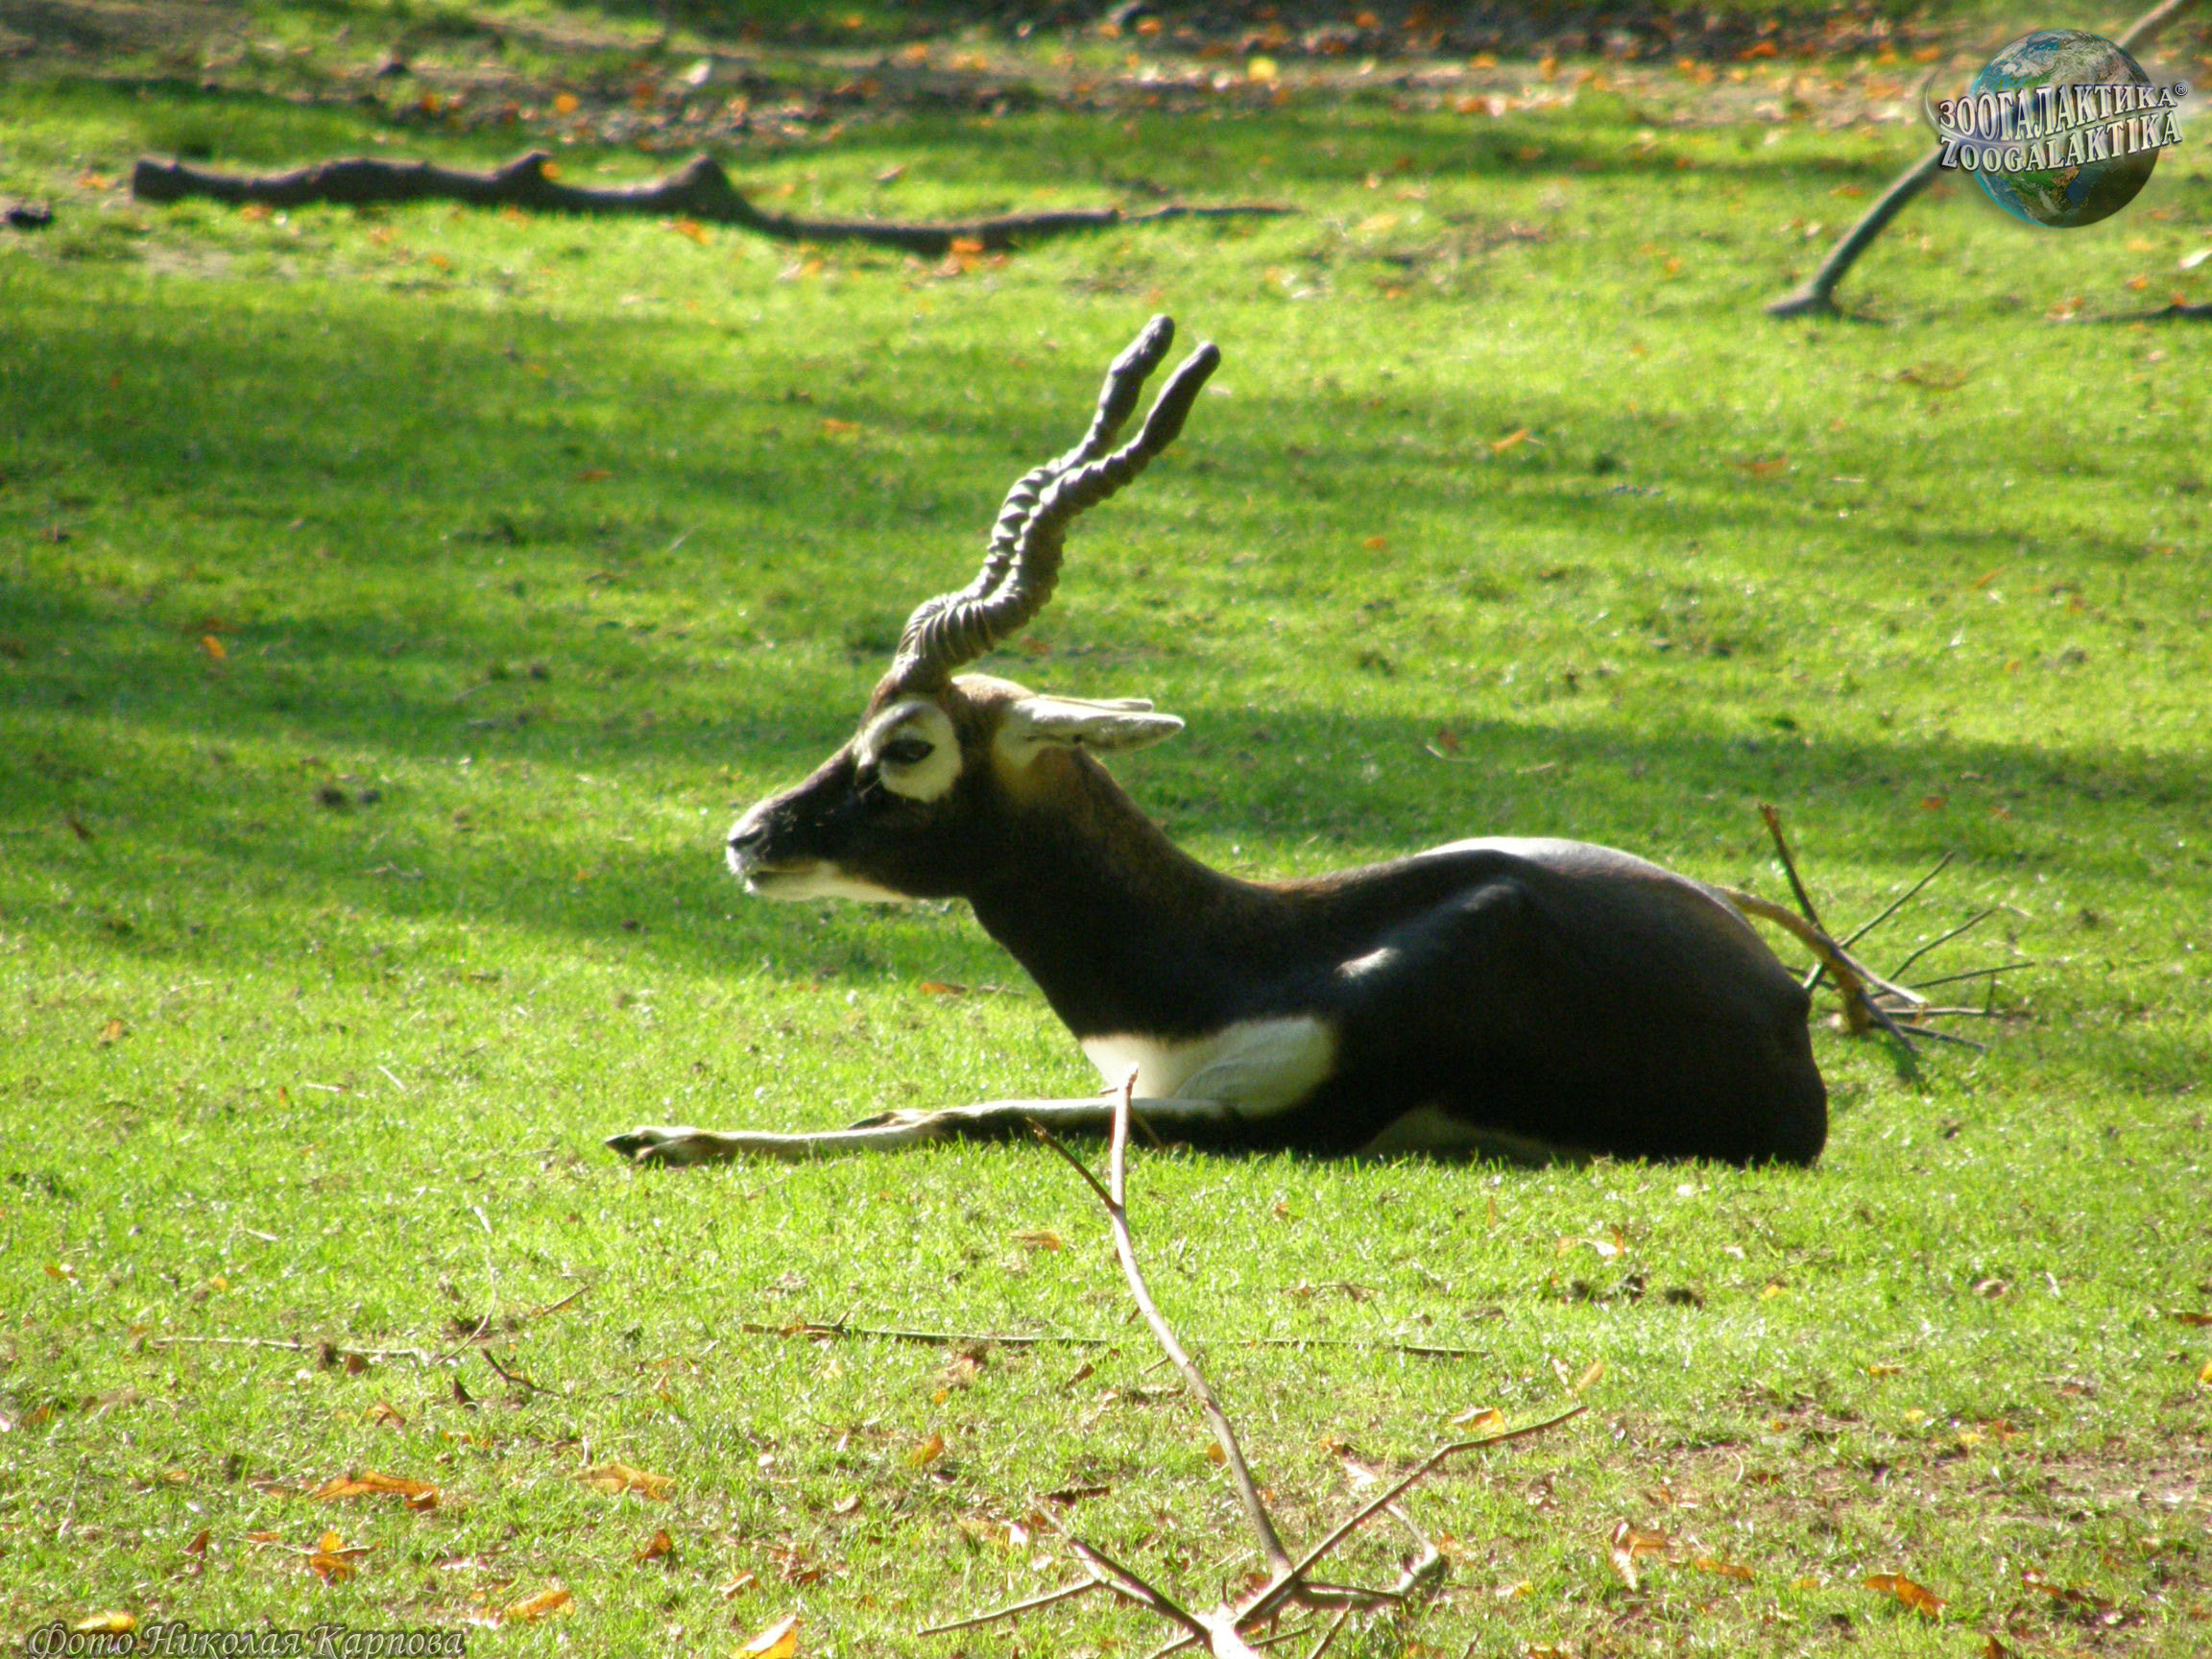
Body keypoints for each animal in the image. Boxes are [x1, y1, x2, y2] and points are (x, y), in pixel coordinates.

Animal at [609, 316, 1870, 1171]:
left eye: (908, 748)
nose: (749, 837)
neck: (1229, 967)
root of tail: (1787, 1006)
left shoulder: (1279, 1119)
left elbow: (974, 1111)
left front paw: (669, 1136)